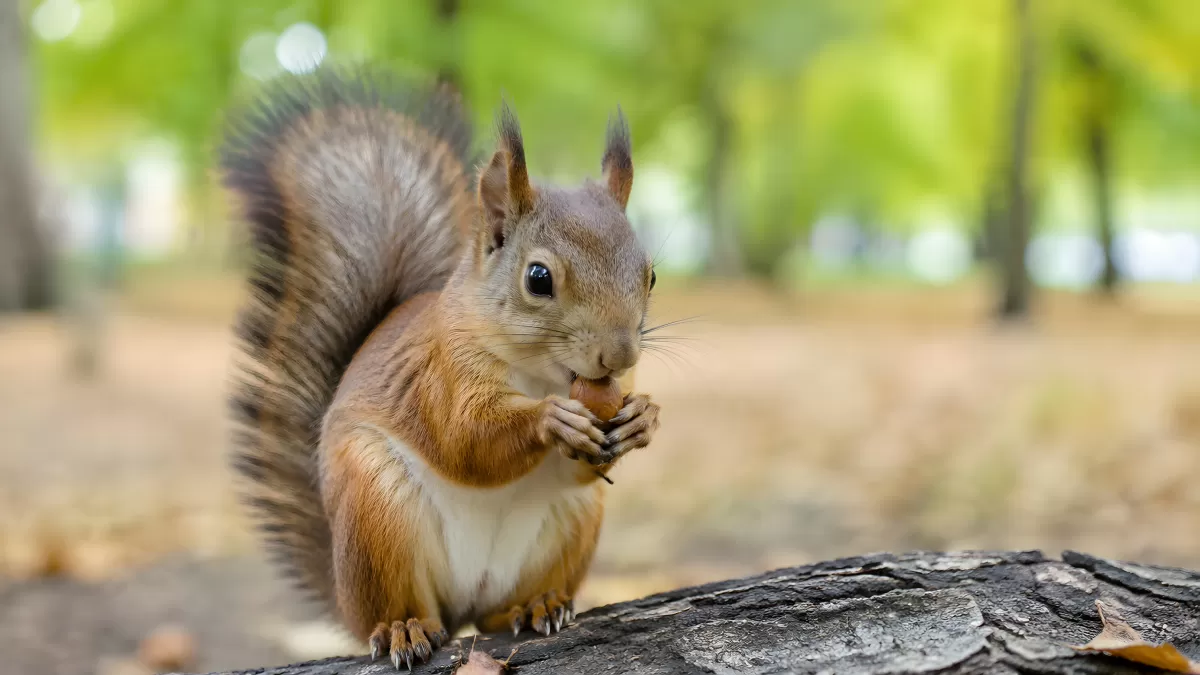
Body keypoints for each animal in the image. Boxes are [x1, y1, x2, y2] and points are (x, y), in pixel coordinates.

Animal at [221, 68, 661, 670]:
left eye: (652, 276)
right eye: (539, 278)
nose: (620, 356)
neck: (543, 374)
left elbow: (584, 464)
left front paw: (643, 417)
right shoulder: (439, 374)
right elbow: (465, 439)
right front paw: (552, 420)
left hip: (571, 523)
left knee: (500, 610)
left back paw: (538, 604)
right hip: (374, 510)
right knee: (396, 611)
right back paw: (402, 627)